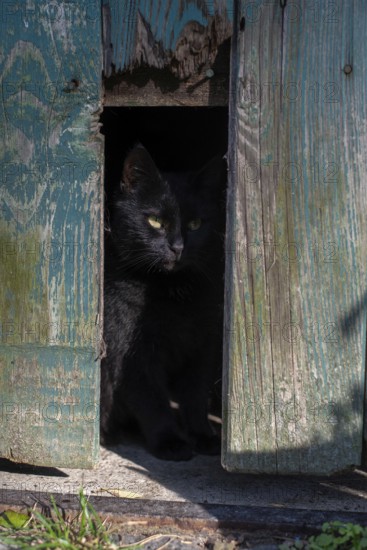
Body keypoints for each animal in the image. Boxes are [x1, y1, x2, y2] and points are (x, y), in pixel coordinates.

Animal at [101, 146, 227, 462]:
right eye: (155, 221)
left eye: (195, 224)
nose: (178, 247)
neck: (171, 292)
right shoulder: (131, 354)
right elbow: (152, 402)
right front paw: (171, 442)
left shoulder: (202, 347)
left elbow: (195, 395)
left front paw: (203, 436)